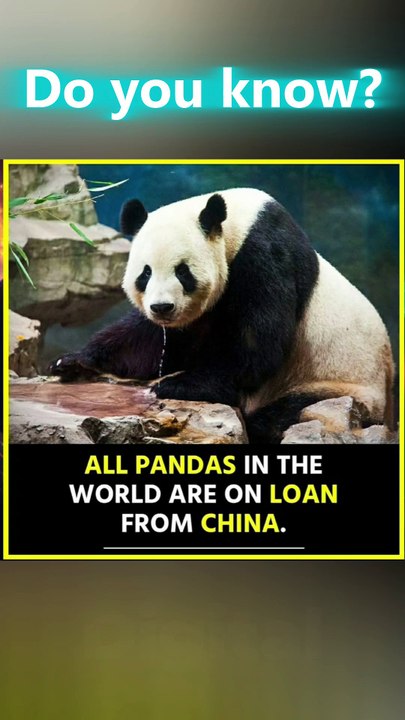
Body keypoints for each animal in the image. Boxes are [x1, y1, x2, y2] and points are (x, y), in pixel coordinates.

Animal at [50, 187, 394, 442]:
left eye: (183, 271)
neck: (234, 225)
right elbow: (153, 341)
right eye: (145, 274)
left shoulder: (266, 256)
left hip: (338, 385)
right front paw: (74, 361)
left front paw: (178, 385)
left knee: (284, 414)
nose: (162, 308)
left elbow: (256, 344)